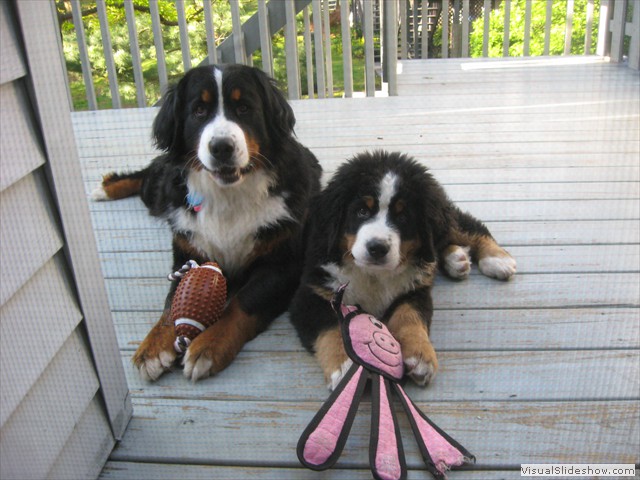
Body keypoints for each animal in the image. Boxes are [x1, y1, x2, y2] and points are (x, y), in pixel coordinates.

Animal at [92, 64, 322, 382]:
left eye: (244, 108)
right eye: (199, 110)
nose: (221, 147)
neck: (228, 195)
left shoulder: (283, 263)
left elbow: (242, 303)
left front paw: (209, 346)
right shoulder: (187, 253)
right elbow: (172, 302)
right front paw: (153, 347)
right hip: (161, 191)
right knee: (149, 174)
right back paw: (107, 188)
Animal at [290, 150, 516, 390]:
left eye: (403, 216)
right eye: (361, 211)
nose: (377, 248)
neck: (373, 275)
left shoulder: (414, 290)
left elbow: (409, 316)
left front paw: (420, 355)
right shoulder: (312, 294)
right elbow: (332, 329)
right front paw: (347, 367)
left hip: (446, 222)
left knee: (467, 227)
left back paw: (497, 259)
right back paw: (456, 258)